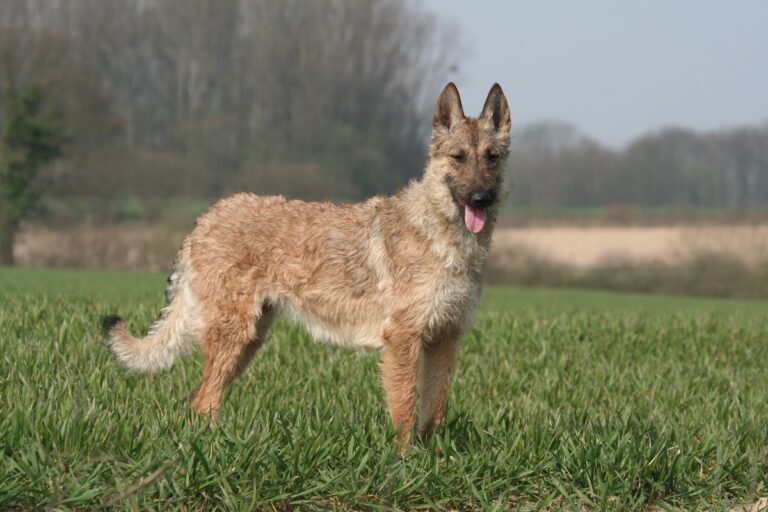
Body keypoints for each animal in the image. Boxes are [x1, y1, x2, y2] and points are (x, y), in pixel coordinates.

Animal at [102, 83, 510, 444]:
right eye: (458, 157)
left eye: (491, 157)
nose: (481, 198)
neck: (447, 238)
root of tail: (204, 218)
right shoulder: (404, 340)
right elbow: (405, 411)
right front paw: (405, 464)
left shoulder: (445, 339)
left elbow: (433, 410)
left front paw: (431, 460)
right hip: (233, 338)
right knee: (204, 401)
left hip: (248, 342)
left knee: (197, 398)